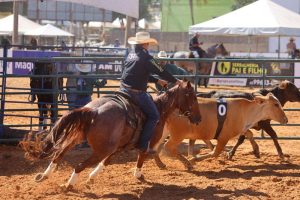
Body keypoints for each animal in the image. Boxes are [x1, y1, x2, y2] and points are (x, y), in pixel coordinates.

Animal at [20, 81, 199, 189]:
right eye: (193, 97)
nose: (198, 118)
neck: (160, 109)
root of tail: (93, 111)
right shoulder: (147, 142)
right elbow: (141, 157)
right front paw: (139, 175)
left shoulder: (118, 147)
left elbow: (106, 163)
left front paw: (91, 178)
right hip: (101, 149)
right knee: (79, 165)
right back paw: (69, 185)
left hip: (77, 138)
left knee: (58, 155)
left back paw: (44, 176)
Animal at [156, 93, 288, 170]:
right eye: (276, 104)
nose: (286, 119)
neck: (246, 111)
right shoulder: (224, 137)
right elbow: (215, 152)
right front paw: (194, 159)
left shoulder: (241, 128)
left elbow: (248, 133)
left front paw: (256, 150)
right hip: (178, 134)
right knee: (167, 147)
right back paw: (187, 163)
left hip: (163, 131)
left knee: (156, 146)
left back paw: (161, 163)